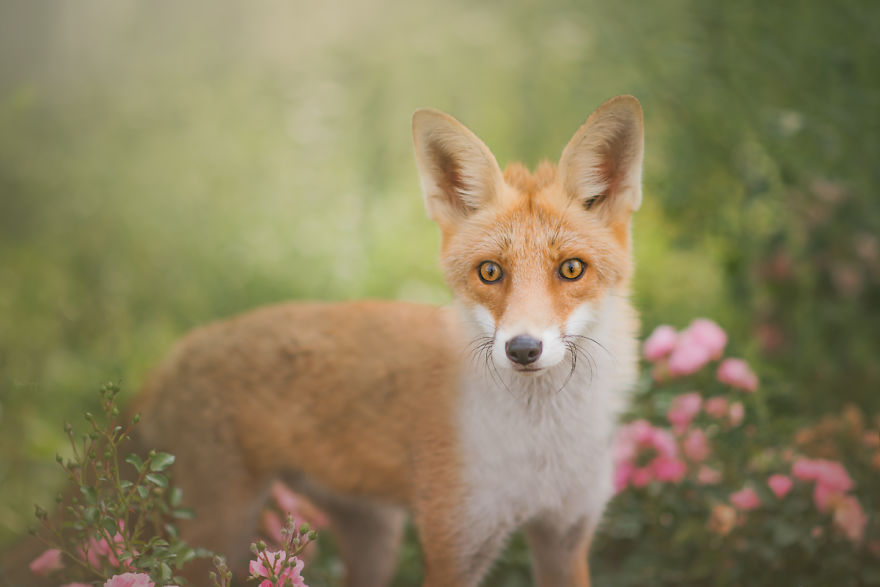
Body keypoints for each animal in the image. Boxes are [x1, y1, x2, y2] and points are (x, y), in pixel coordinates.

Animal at [2, 95, 644, 587]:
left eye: (571, 270)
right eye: (491, 273)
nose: (523, 349)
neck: (542, 449)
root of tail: (174, 355)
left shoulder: (565, 537)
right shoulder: (455, 545)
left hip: (374, 534)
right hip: (215, 538)